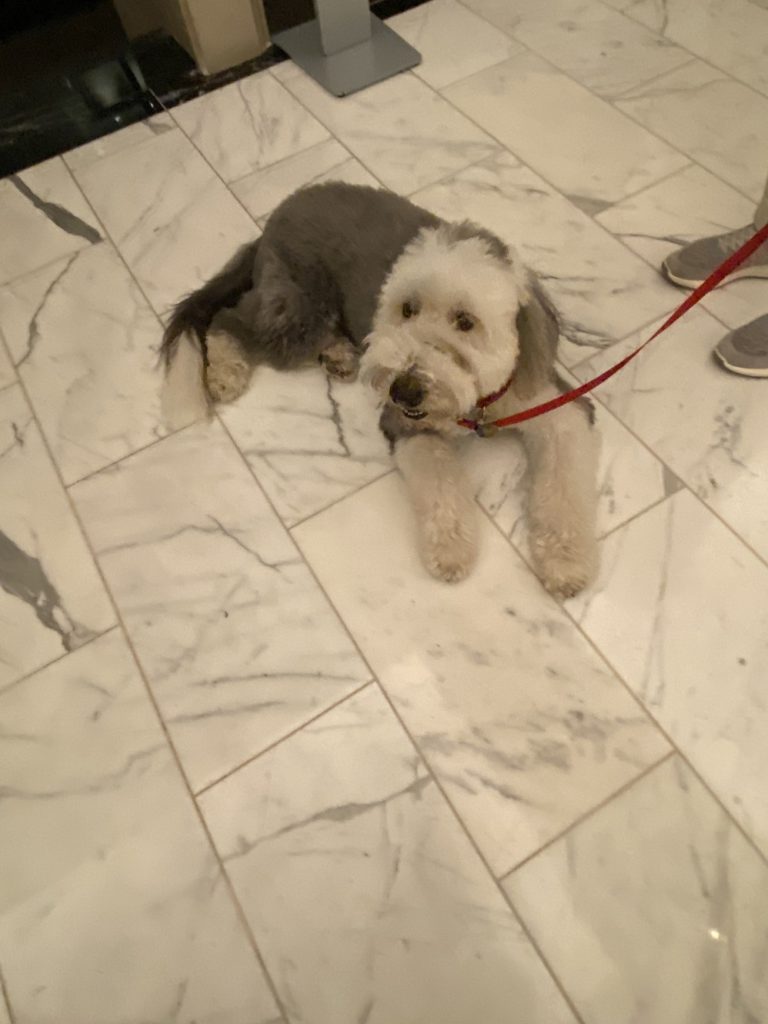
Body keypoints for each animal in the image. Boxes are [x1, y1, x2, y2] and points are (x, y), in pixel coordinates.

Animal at [162, 182, 602, 598]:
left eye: (465, 321)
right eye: (407, 309)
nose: (404, 390)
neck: (475, 403)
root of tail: (278, 215)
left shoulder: (556, 405)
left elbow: (563, 487)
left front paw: (565, 564)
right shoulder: (406, 425)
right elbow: (439, 481)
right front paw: (450, 551)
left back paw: (340, 355)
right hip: (299, 310)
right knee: (228, 319)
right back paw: (226, 373)